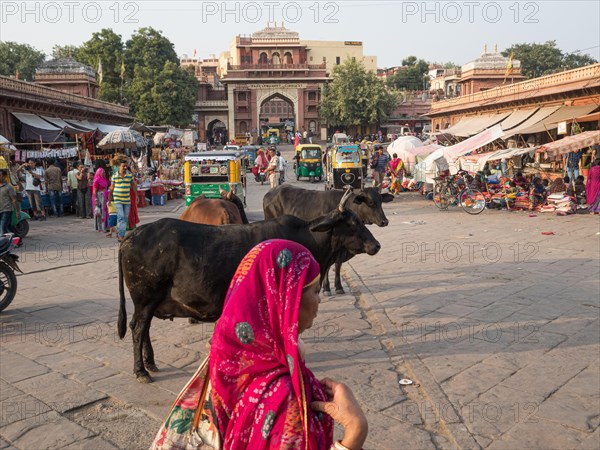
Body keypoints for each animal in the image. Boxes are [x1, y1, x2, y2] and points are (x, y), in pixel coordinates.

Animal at [118, 193, 380, 384]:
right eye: (352, 222)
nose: (376, 245)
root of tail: (135, 233)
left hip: (148, 302)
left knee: (143, 328)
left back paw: (150, 363)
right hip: (145, 298)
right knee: (138, 329)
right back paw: (141, 371)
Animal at [262, 184, 394, 294]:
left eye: (381, 201)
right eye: (370, 202)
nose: (384, 221)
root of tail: (270, 192)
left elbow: (337, 265)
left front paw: (338, 286)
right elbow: (329, 266)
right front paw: (326, 288)